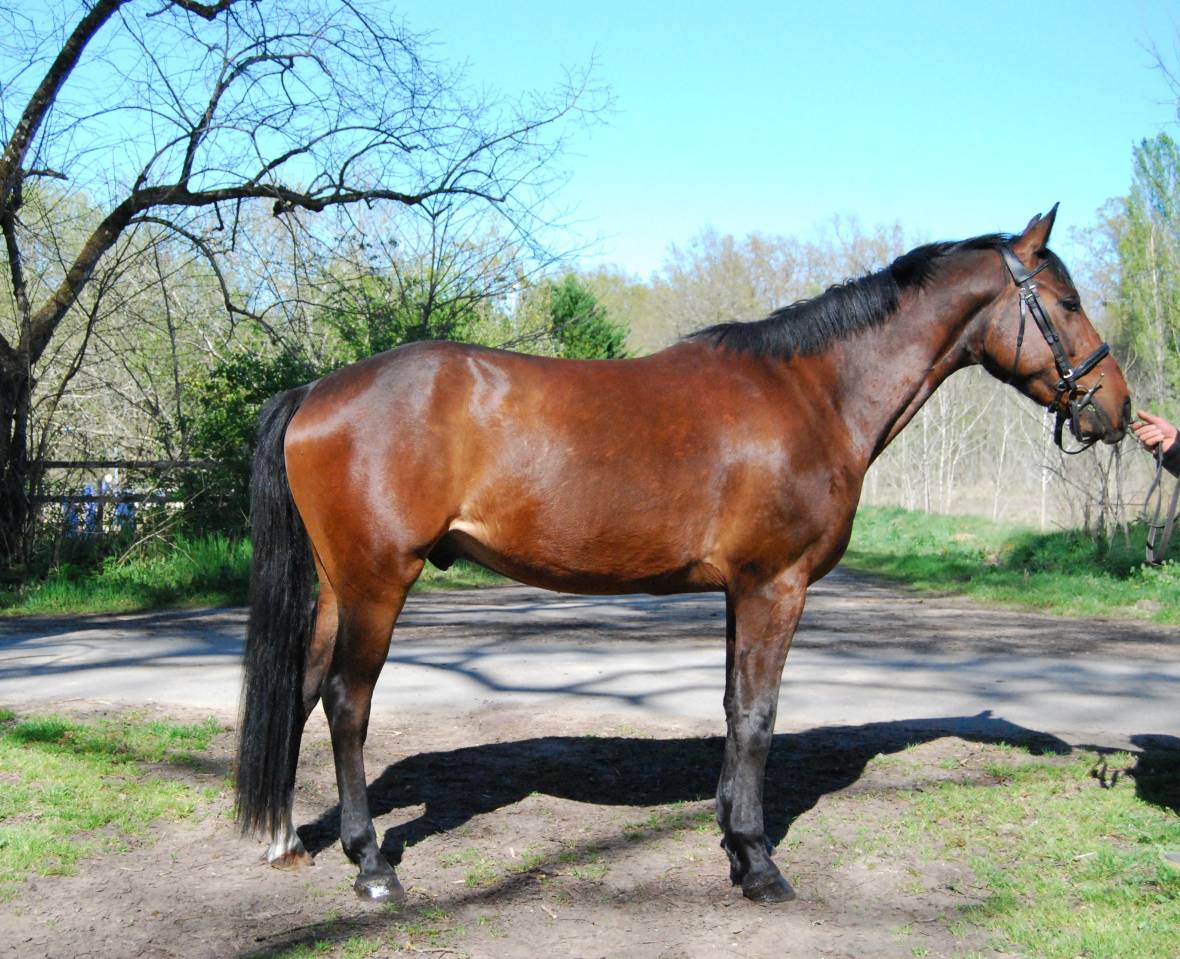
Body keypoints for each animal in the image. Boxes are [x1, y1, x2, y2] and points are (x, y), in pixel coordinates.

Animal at [235, 206, 1131, 904]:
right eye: (1067, 300)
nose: (1116, 408)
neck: (812, 391)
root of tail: (316, 393)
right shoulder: (777, 586)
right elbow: (761, 717)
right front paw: (761, 864)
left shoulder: (743, 590)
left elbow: (735, 710)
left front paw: (735, 843)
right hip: (377, 583)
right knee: (347, 703)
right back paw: (372, 866)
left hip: (339, 586)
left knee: (304, 687)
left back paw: (286, 840)